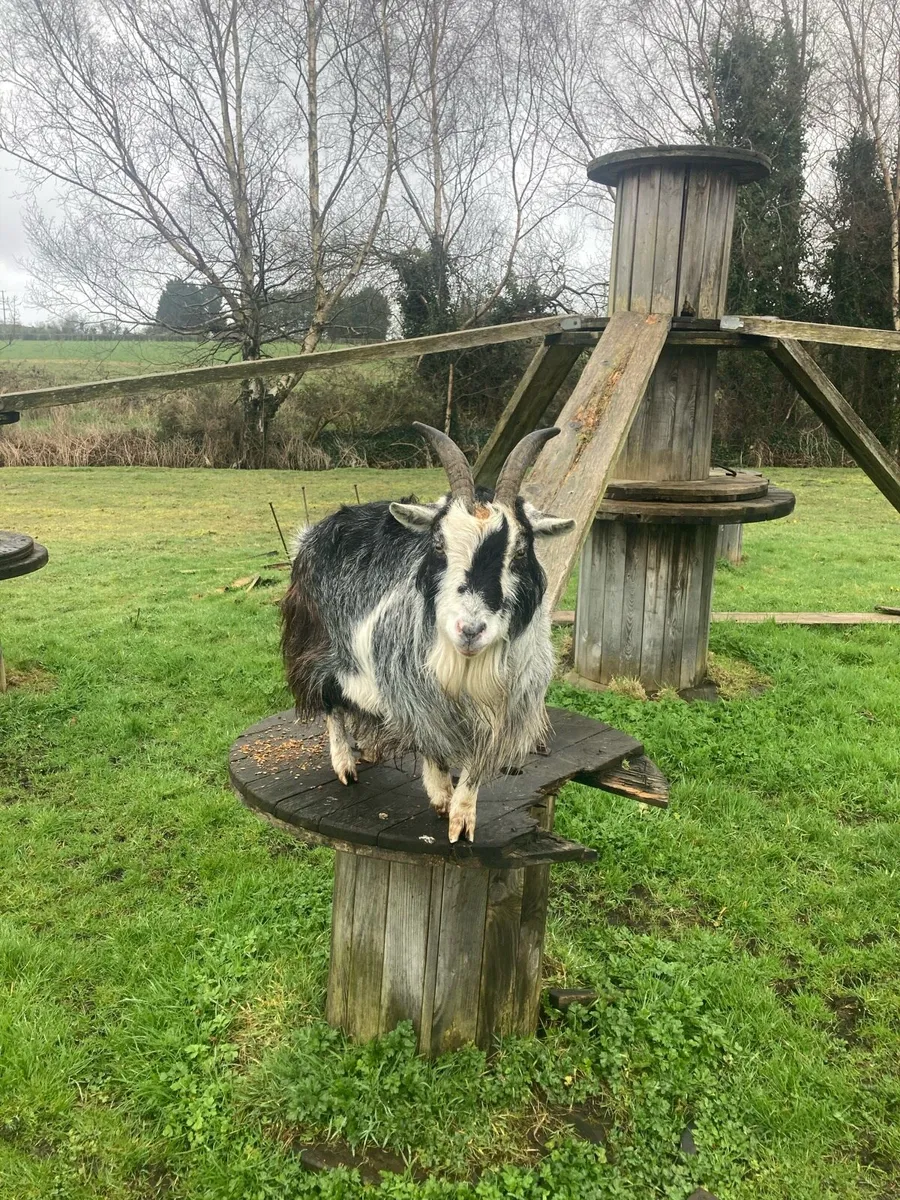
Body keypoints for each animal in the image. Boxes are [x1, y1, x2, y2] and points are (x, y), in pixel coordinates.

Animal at [280, 423, 574, 842]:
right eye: (438, 544)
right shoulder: (417, 694)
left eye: (520, 551)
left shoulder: (502, 711)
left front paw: (462, 818)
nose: (470, 630)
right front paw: (439, 795)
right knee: (332, 701)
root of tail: (315, 531)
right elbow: (432, 745)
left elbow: (475, 768)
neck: (466, 667)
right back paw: (345, 763)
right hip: (319, 645)